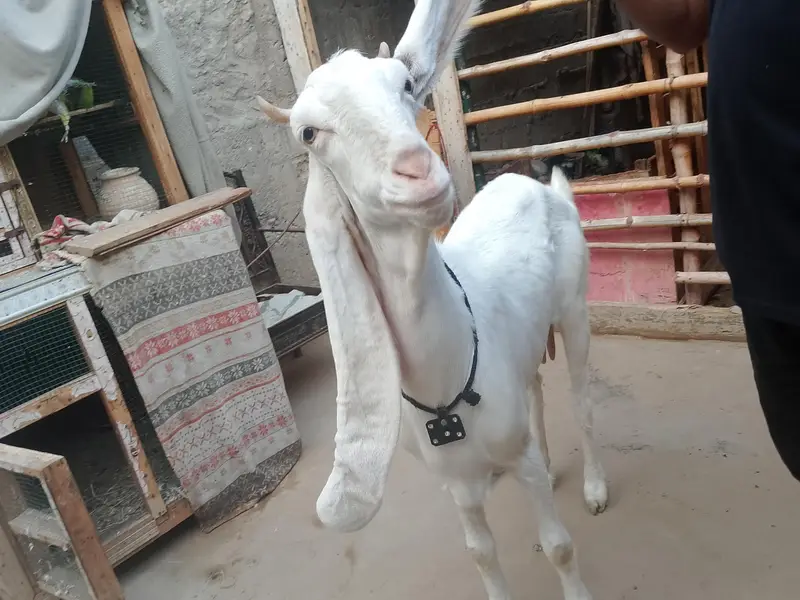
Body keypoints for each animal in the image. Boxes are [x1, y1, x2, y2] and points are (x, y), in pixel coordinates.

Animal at [257, 1, 609, 597]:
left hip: (575, 306)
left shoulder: (517, 459)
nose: (417, 172)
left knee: (582, 399)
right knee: (535, 387)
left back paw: (594, 488)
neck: (444, 385)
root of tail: (540, 187)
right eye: (308, 133)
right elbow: (480, 553)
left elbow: (559, 546)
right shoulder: (457, 484)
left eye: (405, 85)